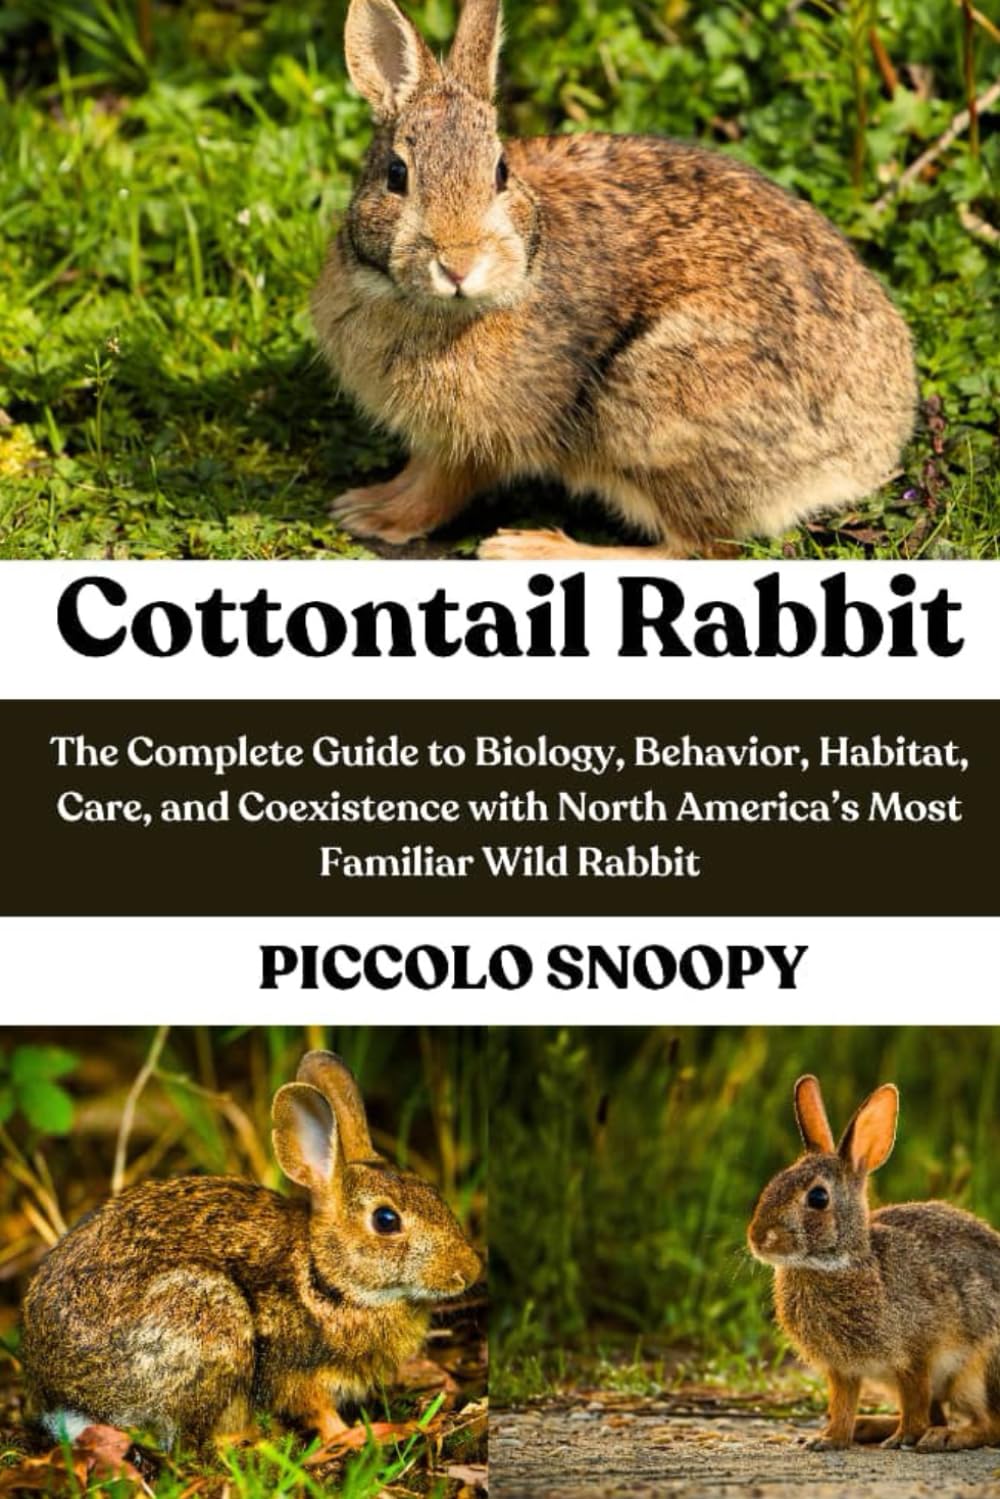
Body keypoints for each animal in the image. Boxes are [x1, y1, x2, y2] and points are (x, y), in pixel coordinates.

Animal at [20, 1051, 481, 1453]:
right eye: (386, 1220)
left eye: (431, 1192)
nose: (470, 1270)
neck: (325, 1276)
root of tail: (64, 1398)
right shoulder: (294, 1369)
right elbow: (318, 1411)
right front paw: (368, 1435)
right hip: (205, 1317)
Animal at [311, 0, 917, 561]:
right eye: (396, 176)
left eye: (501, 172)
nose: (459, 264)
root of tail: (872, 444)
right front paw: (366, 502)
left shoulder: (483, 439)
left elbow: (444, 485)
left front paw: (376, 516)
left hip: (651, 411)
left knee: (693, 548)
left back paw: (531, 548)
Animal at [748, 1074, 1000, 1452]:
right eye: (774, 1182)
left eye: (818, 1198)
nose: (758, 1238)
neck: (840, 1263)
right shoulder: (843, 1369)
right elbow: (843, 1403)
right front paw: (829, 1439)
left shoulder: (915, 1355)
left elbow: (915, 1398)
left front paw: (905, 1437)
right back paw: (870, 1427)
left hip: (978, 1373)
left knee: (989, 1425)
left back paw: (943, 1437)